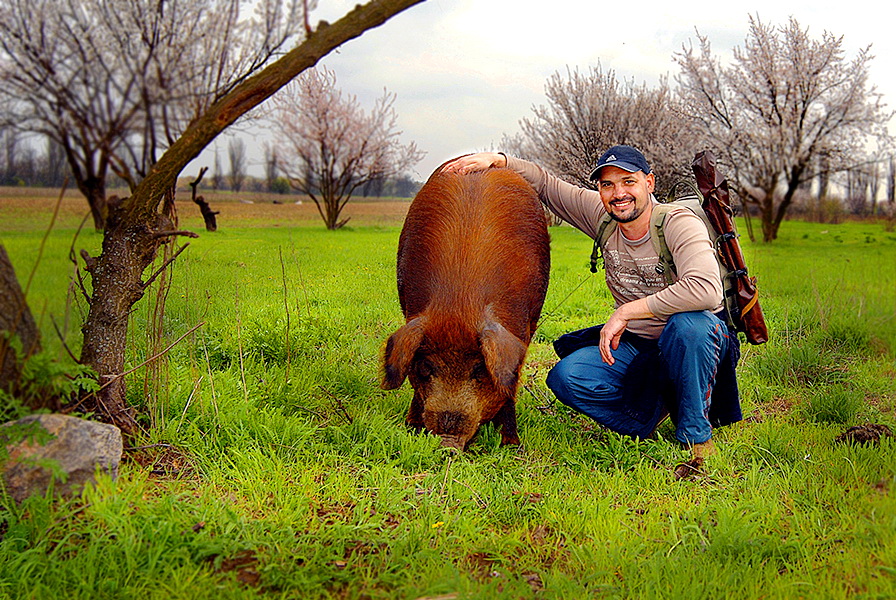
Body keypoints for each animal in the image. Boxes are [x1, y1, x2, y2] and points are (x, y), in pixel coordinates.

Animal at [382, 164, 548, 450]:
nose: (448, 445)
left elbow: (509, 384)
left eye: (479, 369)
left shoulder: (523, 330)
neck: (459, 303)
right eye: (426, 367)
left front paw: (510, 445)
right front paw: (411, 428)